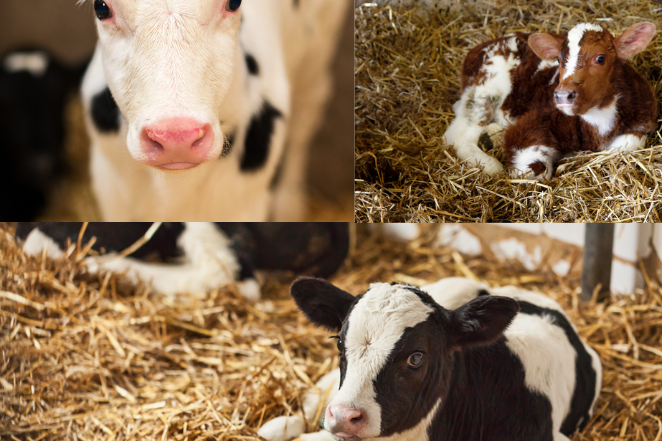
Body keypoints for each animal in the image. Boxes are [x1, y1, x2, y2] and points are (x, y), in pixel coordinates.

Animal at [443, 22, 657, 180]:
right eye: (560, 60)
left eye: (600, 58)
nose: (562, 95)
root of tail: (478, 49)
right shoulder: (535, 121)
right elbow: (535, 169)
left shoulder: (645, 114)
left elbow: (630, 142)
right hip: (486, 89)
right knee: (458, 135)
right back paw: (490, 164)